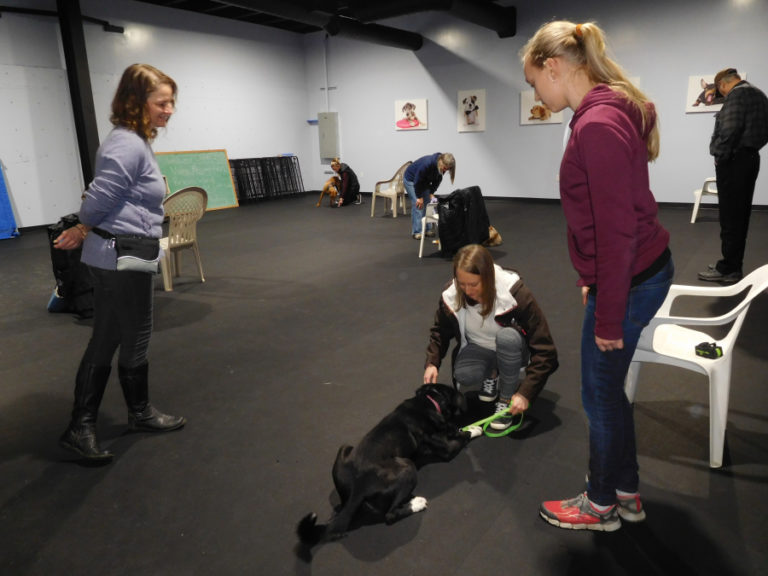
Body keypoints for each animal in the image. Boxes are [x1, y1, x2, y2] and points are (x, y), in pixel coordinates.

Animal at [296, 384, 480, 552]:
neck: (428, 401)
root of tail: (358, 488)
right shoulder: (446, 448)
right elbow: (463, 436)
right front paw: (475, 428)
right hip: (408, 467)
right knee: (390, 515)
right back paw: (417, 503)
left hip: (344, 448)